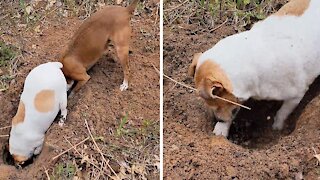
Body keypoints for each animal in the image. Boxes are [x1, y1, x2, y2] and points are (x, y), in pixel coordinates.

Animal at [189, 0, 320, 137]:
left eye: (217, 104)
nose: (216, 119)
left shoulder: (296, 95)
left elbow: (282, 113)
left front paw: (276, 129)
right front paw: (220, 131)